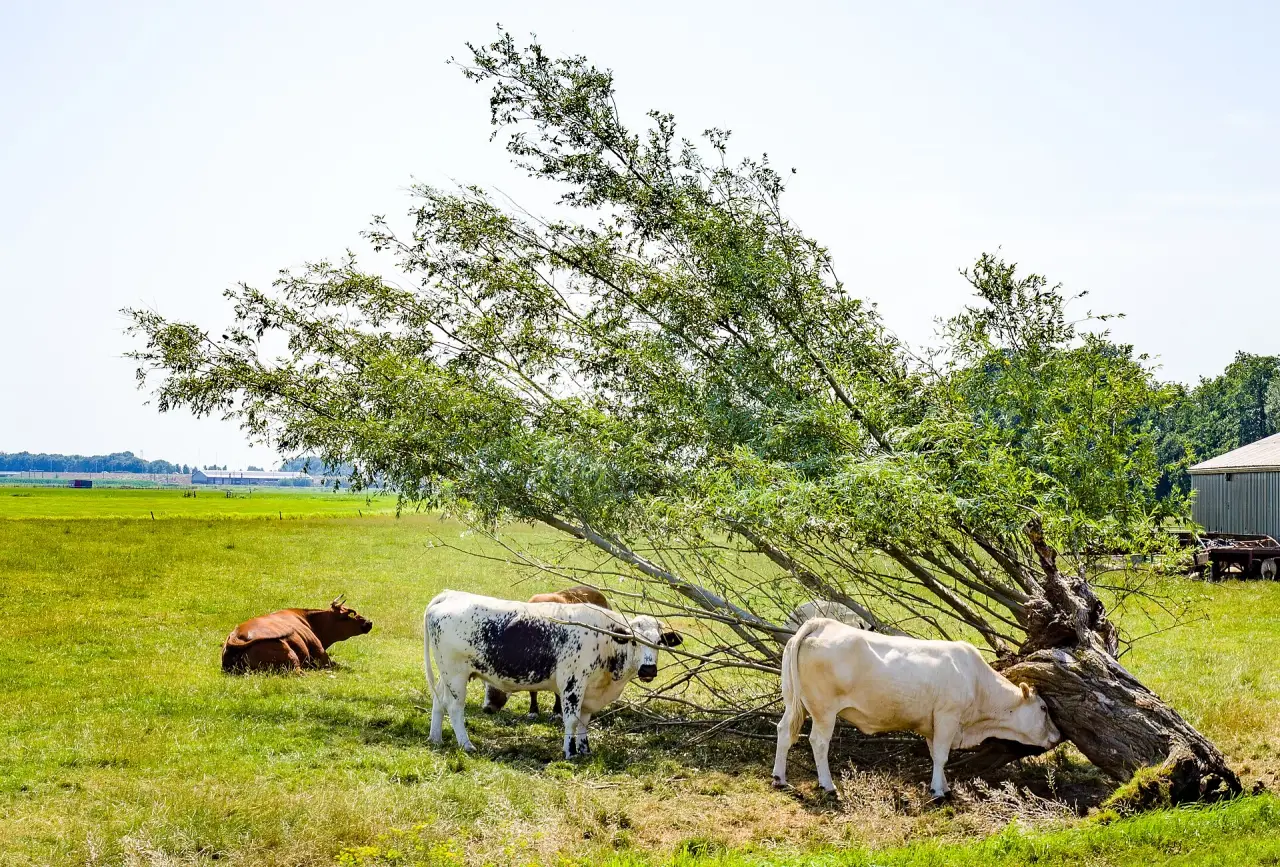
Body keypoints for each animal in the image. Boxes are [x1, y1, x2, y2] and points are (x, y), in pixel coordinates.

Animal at [771, 618, 1061, 799]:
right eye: (1044, 708)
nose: (1057, 735)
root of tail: (821, 623)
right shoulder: (947, 717)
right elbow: (942, 756)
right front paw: (938, 792)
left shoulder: (933, 725)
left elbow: (936, 755)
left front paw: (944, 787)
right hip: (824, 711)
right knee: (819, 742)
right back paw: (828, 786)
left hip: (794, 703)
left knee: (784, 731)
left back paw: (779, 778)